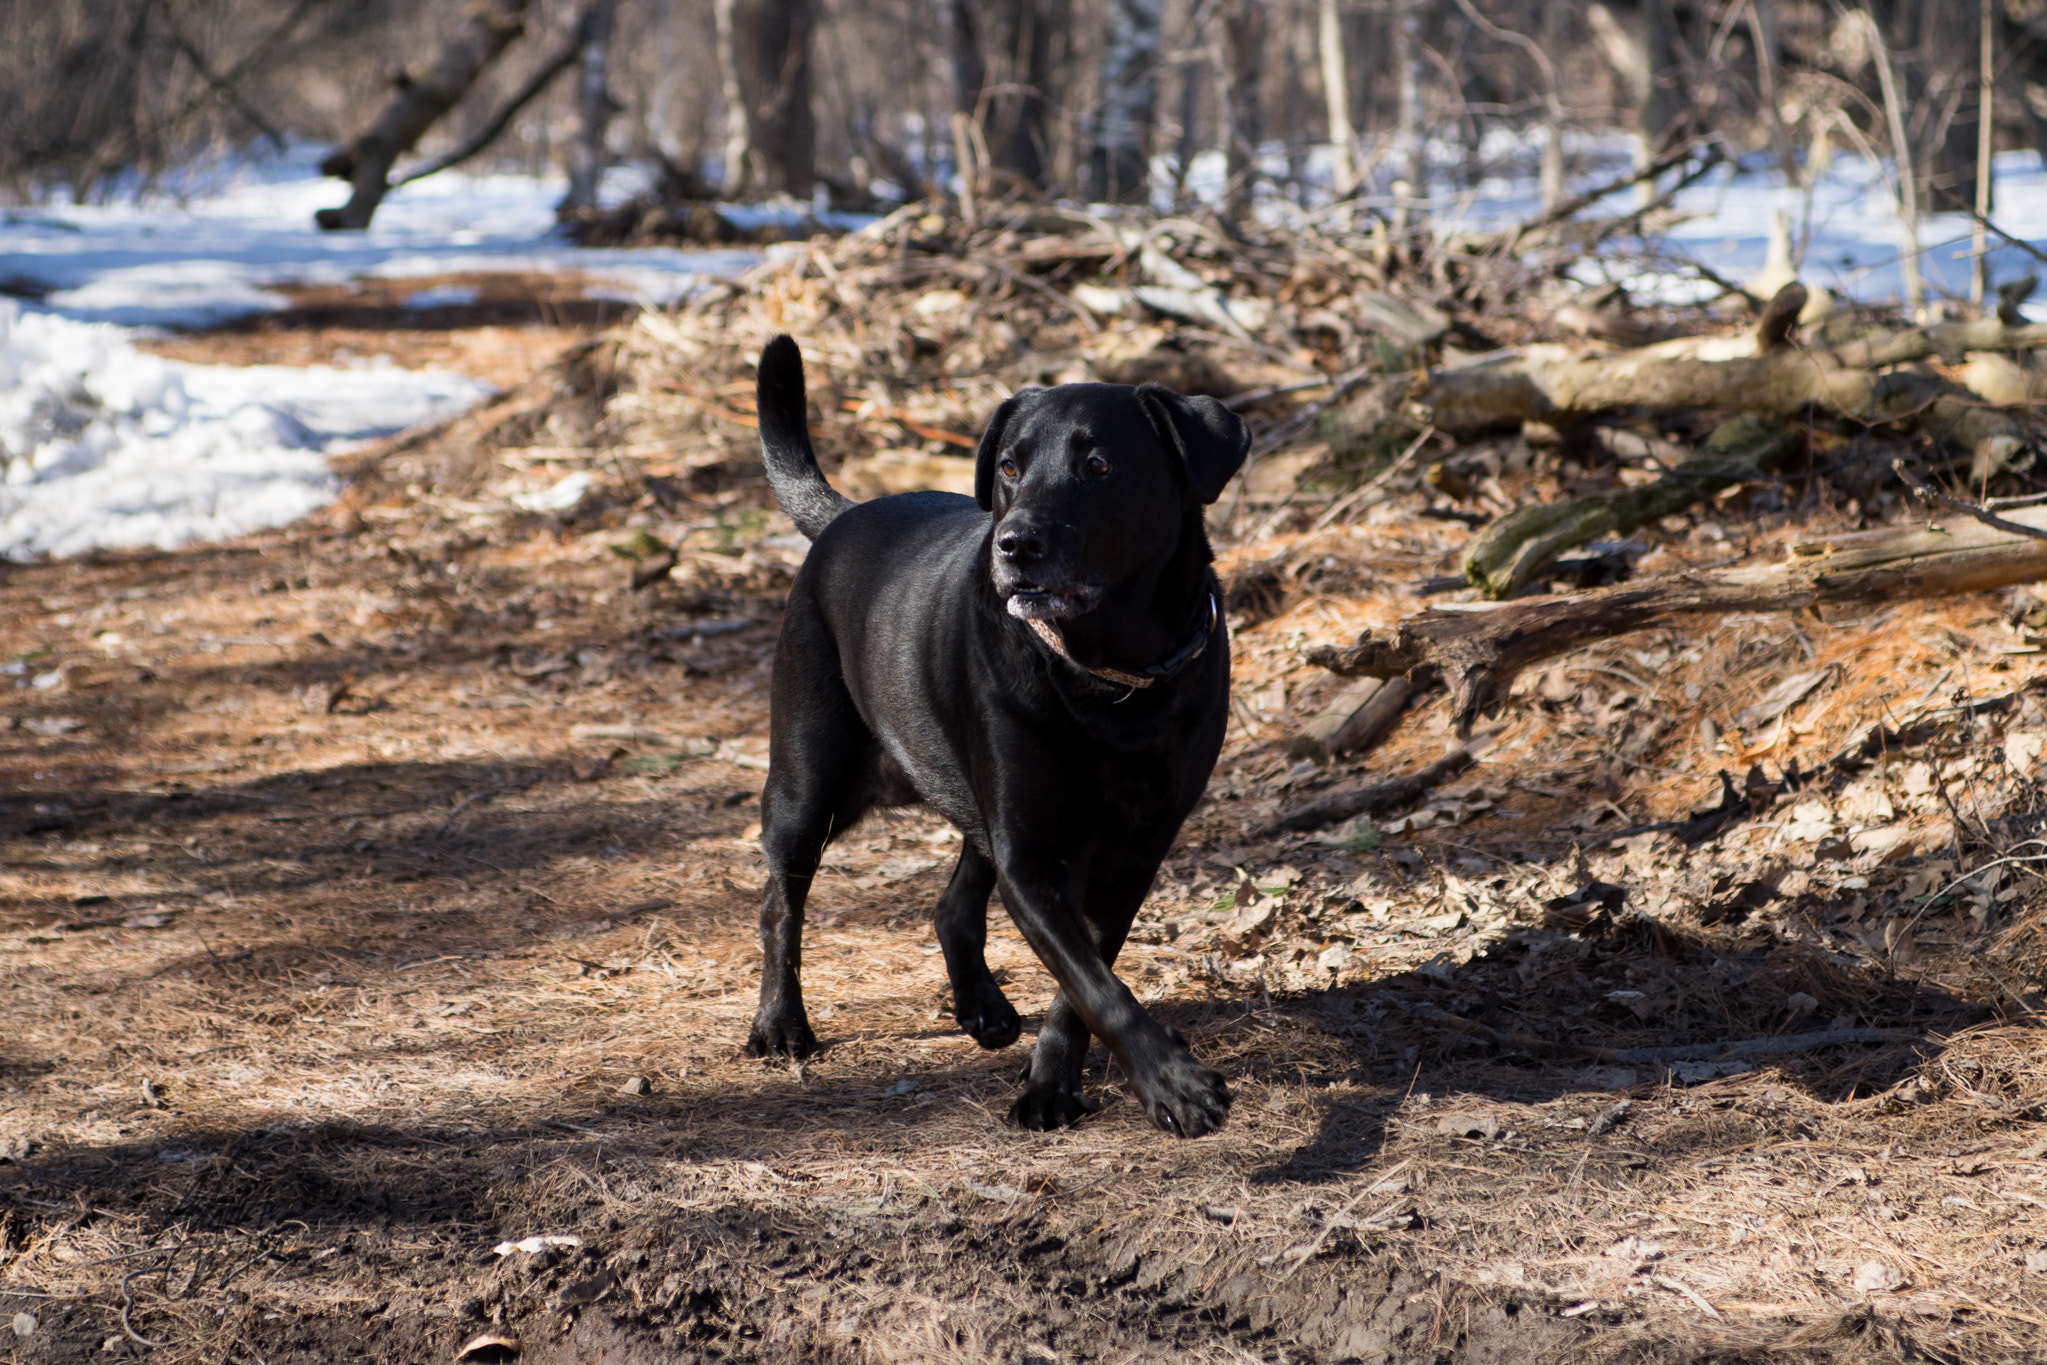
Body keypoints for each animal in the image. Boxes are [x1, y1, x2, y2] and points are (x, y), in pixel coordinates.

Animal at [741, 335, 1244, 1137]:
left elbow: (1085, 979)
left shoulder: (1131, 852)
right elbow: (1096, 985)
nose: (1014, 542)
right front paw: (1174, 1085)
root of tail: (844, 516)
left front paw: (1052, 1083)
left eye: (1099, 465)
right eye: (1010, 466)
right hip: (806, 785)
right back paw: (781, 1023)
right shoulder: (1031, 853)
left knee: (950, 906)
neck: (1107, 677)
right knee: (779, 902)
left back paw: (980, 1006)